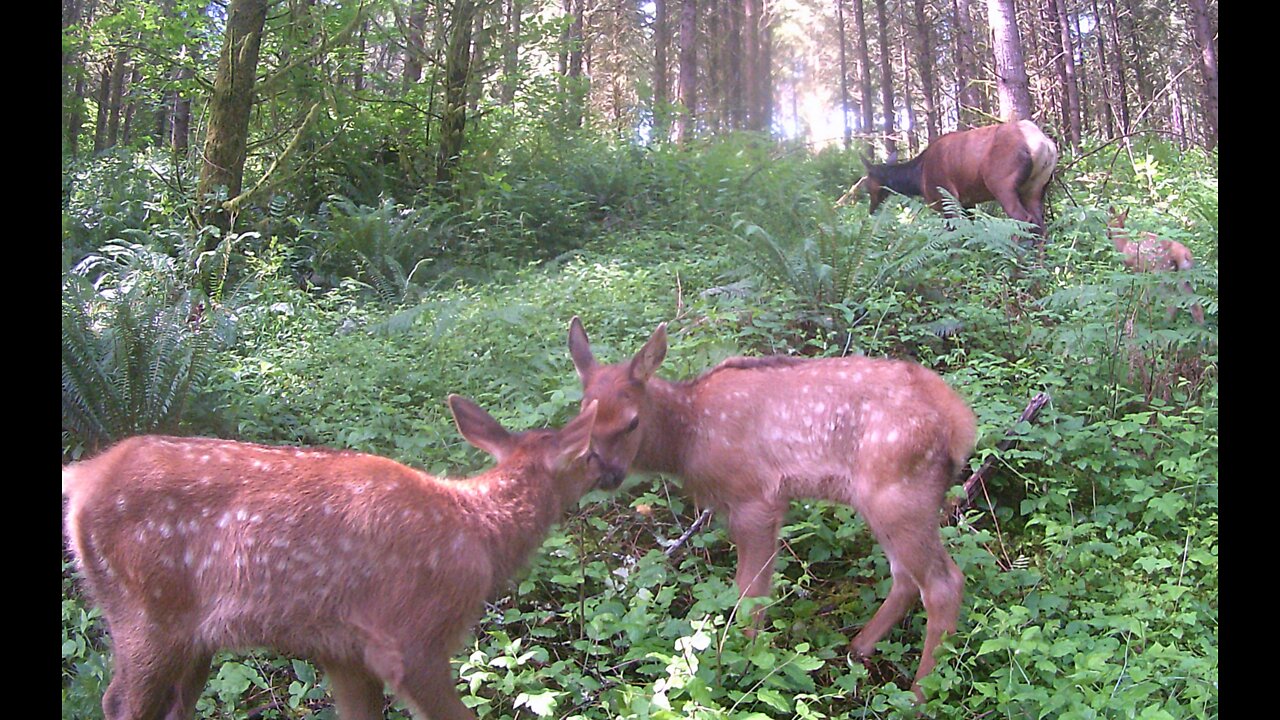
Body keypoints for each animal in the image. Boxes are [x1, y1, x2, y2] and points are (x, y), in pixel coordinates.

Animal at [62, 394, 616, 717]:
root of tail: (85, 476)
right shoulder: (411, 638)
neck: (480, 533)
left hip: (191, 637)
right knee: (120, 702)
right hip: (146, 612)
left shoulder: (344, 650)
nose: (612, 470)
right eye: (588, 453)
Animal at [565, 313, 972, 696]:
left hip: (900, 492)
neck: (688, 439)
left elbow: (749, 592)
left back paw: (921, 693)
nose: (606, 475)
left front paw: (744, 663)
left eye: (632, 422)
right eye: (583, 417)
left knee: (943, 584)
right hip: (883, 500)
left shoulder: (756, 498)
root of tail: (960, 423)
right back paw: (859, 649)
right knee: (905, 576)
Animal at [855, 119, 1054, 238]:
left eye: (867, 185)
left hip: (1002, 183)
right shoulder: (967, 201)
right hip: (1035, 188)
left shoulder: (945, 197)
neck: (918, 178)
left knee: (1023, 220)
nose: (870, 211)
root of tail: (1045, 143)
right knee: (1040, 225)